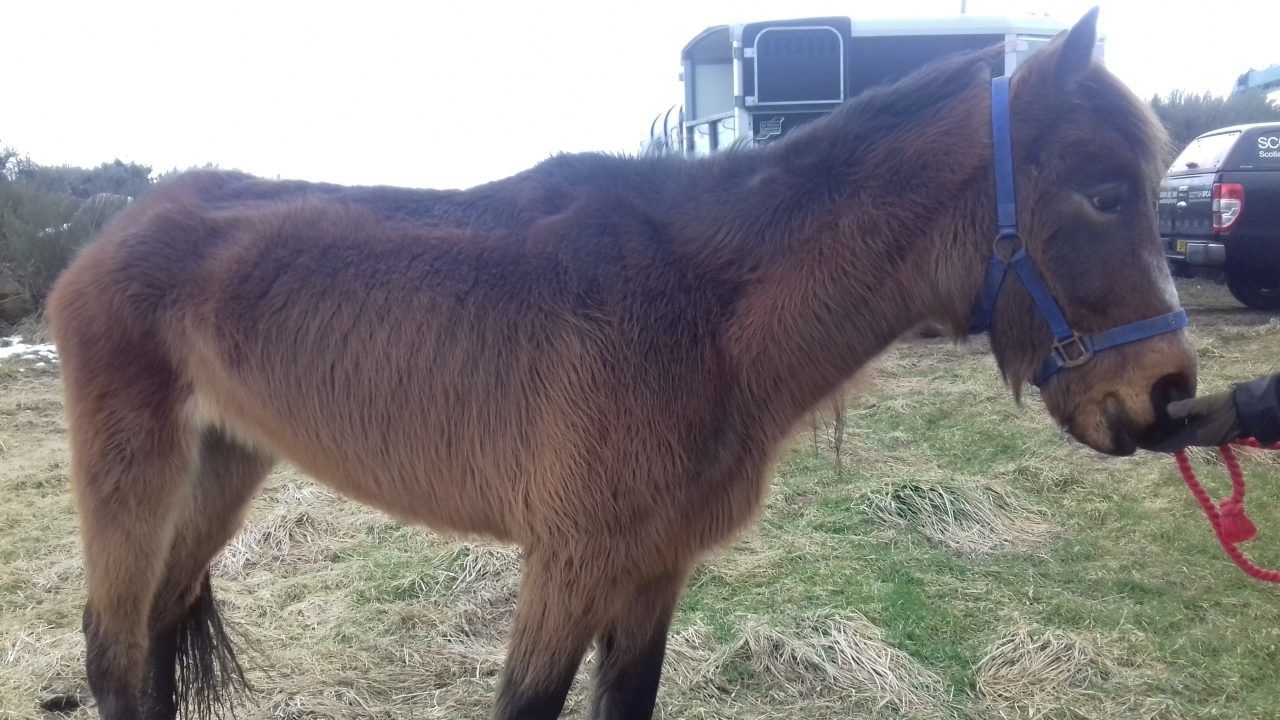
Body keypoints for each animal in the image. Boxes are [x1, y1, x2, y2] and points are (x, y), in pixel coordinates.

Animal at [47, 11, 1187, 717]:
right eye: (1100, 193)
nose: (1165, 393)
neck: (703, 314)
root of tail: (107, 237)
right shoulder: (569, 564)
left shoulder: (651, 572)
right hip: (135, 478)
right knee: (114, 656)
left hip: (220, 472)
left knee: (152, 643)